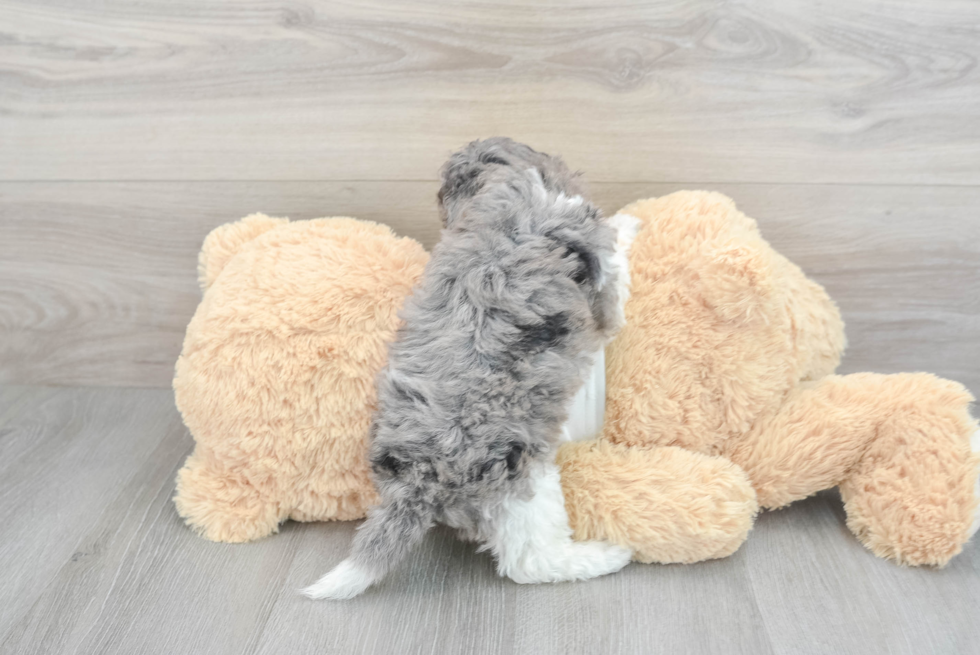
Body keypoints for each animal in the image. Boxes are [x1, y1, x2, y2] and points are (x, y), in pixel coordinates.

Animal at [306, 138, 644, 600]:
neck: (504, 184)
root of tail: (420, 480)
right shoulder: (603, 284)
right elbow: (616, 273)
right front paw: (628, 222)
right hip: (523, 483)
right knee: (530, 562)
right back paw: (605, 556)